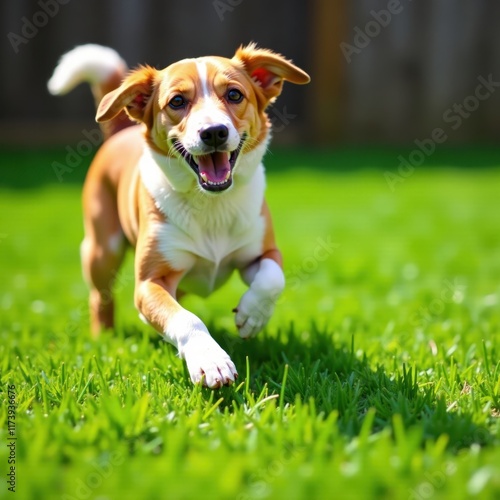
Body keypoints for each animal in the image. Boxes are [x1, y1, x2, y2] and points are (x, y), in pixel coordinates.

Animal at [48, 44, 310, 386]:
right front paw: (210, 359)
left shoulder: (262, 251)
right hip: (102, 250)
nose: (213, 132)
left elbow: (272, 277)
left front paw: (252, 316)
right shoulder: (149, 282)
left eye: (235, 94)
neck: (211, 205)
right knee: (100, 296)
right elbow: (186, 319)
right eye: (177, 101)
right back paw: (104, 335)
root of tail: (121, 132)